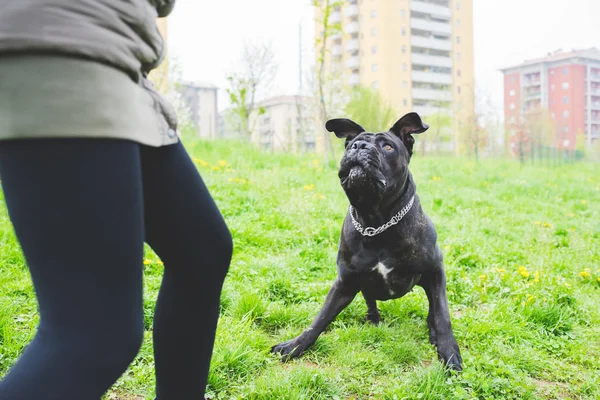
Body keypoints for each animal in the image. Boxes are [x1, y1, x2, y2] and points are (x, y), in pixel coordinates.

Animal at [274, 112, 464, 372]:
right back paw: (373, 319)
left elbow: (442, 314)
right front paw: (295, 345)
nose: (359, 147)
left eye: (388, 147)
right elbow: (320, 318)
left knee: (433, 309)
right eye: (352, 144)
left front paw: (449, 352)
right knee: (371, 300)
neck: (376, 221)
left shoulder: (435, 271)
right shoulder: (344, 282)